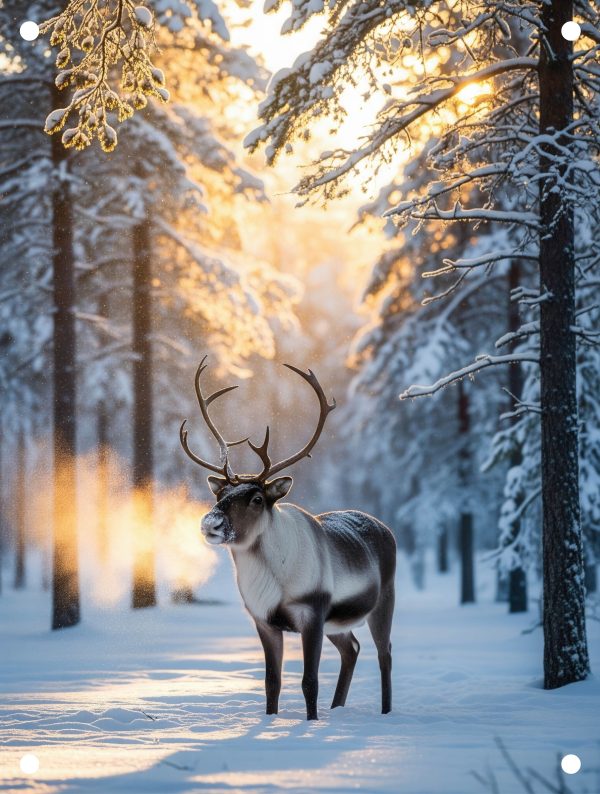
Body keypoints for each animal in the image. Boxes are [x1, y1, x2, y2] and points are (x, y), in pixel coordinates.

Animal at [180, 357, 396, 720]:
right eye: (220, 493)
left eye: (257, 498)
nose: (211, 522)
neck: (273, 581)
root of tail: (386, 529)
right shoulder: (265, 621)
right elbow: (272, 683)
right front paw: (271, 720)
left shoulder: (313, 612)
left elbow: (309, 682)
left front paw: (312, 722)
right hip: (337, 623)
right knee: (352, 648)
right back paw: (338, 708)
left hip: (383, 601)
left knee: (385, 654)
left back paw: (385, 712)